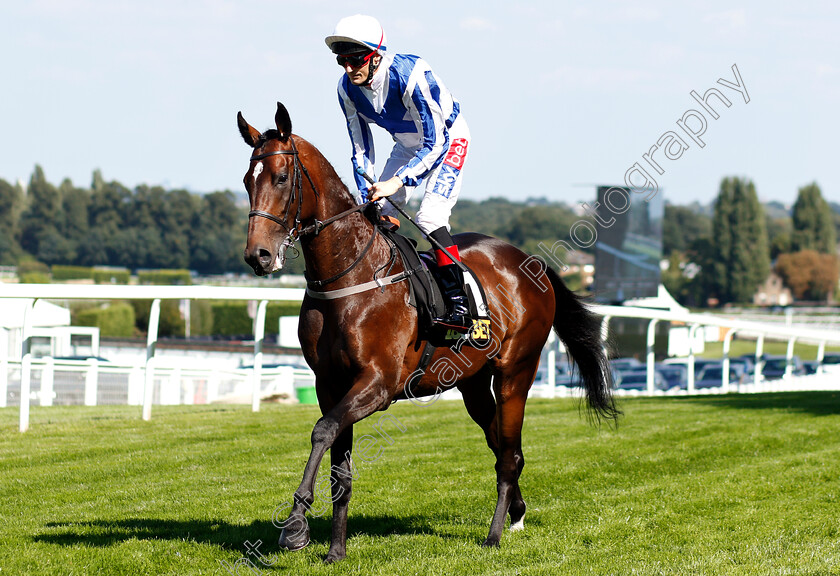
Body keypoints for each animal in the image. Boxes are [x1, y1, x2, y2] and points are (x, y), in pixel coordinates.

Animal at [236, 103, 616, 564]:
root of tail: (531, 263)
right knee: (500, 445)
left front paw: (294, 525)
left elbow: (322, 431)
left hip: (516, 372)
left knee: (509, 454)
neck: (348, 277)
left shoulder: (378, 384)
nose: (258, 255)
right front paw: (335, 550)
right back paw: (518, 512)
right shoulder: (330, 383)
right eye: (247, 180)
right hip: (473, 384)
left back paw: (494, 535)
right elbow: (339, 468)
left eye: (281, 177)